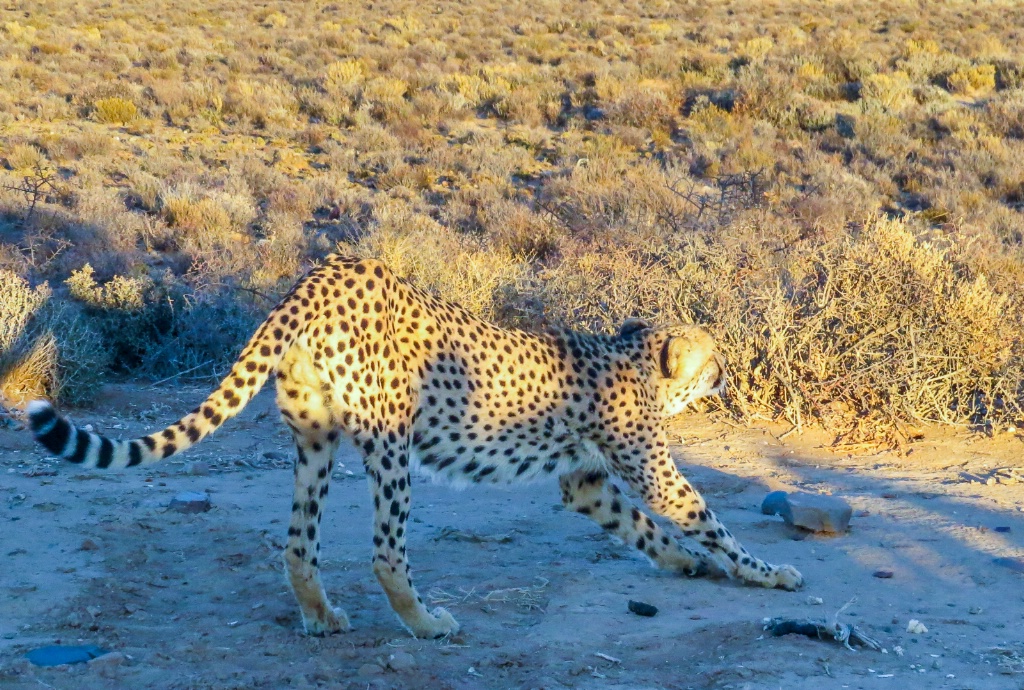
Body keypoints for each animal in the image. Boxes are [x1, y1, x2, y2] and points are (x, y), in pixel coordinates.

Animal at [28, 254, 802, 638]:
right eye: (712, 355)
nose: (729, 372)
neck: (634, 359)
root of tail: (328, 270)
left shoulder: (584, 480)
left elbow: (639, 525)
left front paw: (681, 562)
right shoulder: (647, 468)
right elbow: (705, 518)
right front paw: (767, 574)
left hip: (315, 439)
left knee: (298, 542)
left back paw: (322, 618)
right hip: (392, 440)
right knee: (385, 551)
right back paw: (426, 623)